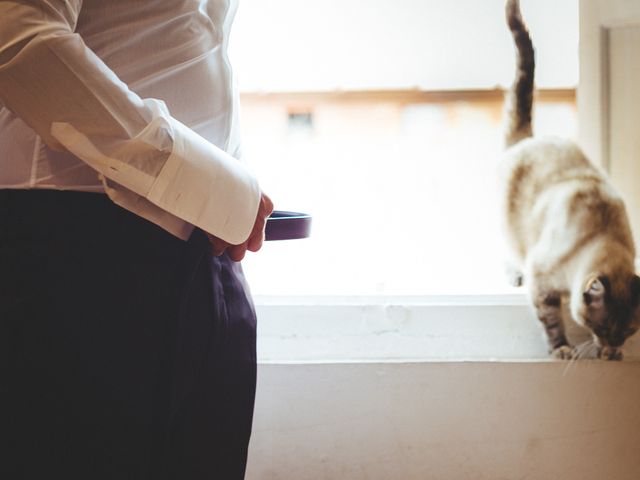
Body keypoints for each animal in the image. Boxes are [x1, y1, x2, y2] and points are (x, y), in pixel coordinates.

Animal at [500, 0, 640, 360]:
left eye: (628, 331)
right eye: (603, 327)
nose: (612, 344)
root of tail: (528, 139)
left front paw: (610, 356)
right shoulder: (542, 280)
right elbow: (551, 320)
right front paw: (562, 349)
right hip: (512, 232)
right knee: (509, 250)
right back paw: (513, 275)